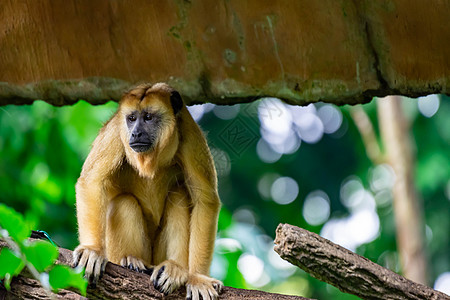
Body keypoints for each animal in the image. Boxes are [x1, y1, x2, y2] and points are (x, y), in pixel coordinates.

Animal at [71, 82, 223, 300]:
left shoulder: (191, 135)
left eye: (148, 117)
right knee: (124, 201)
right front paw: (92, 250)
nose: (135, 133)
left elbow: (205, 200)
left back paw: (175, 269)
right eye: (132, 118)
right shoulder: (115, 130)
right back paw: (131, 260)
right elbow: (92, 181)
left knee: (179, 195)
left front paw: (198, 278)